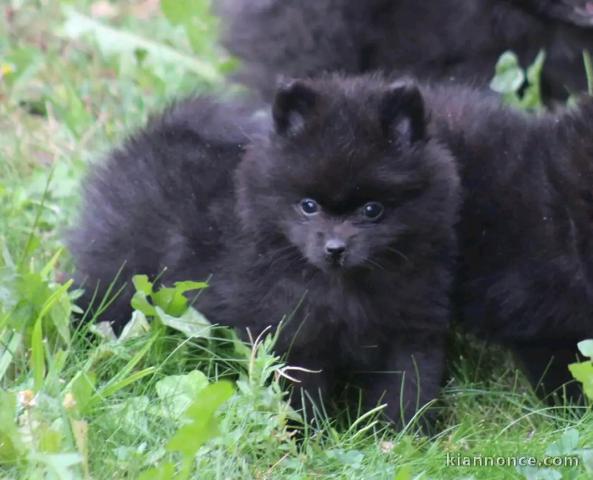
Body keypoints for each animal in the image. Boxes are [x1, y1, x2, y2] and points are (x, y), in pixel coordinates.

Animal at [68, 76, 458, 428]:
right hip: (120, 270)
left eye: (372, 210)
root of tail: (157, 133)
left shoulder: (410, 326)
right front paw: (303, 436)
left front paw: (401, 435)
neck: (342, 288)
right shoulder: (288, 333)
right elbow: (296, 392)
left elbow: (408, 385)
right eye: (308, 206)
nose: (335, 248)